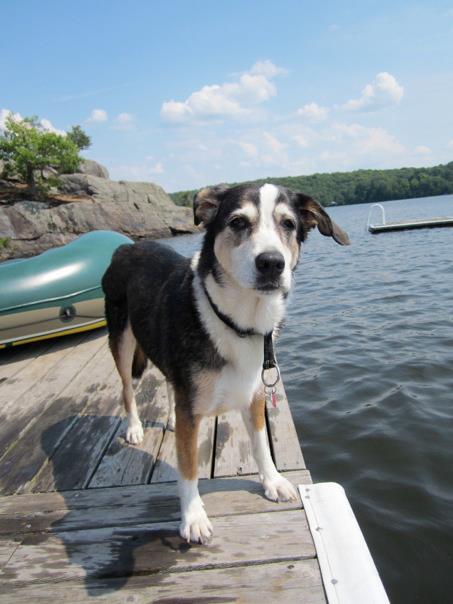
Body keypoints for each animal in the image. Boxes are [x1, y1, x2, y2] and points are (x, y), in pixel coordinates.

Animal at [102, 183, 350, 544]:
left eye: (288, 224)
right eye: (238, 222)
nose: (271, 263)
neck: (238, 321)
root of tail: (125, 246)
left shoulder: (255, 390)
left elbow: (261, 444)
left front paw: (272, 481)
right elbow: (188, 467)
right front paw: (193, 517)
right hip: (121, 337)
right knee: (126, 388)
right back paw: (134, 427)